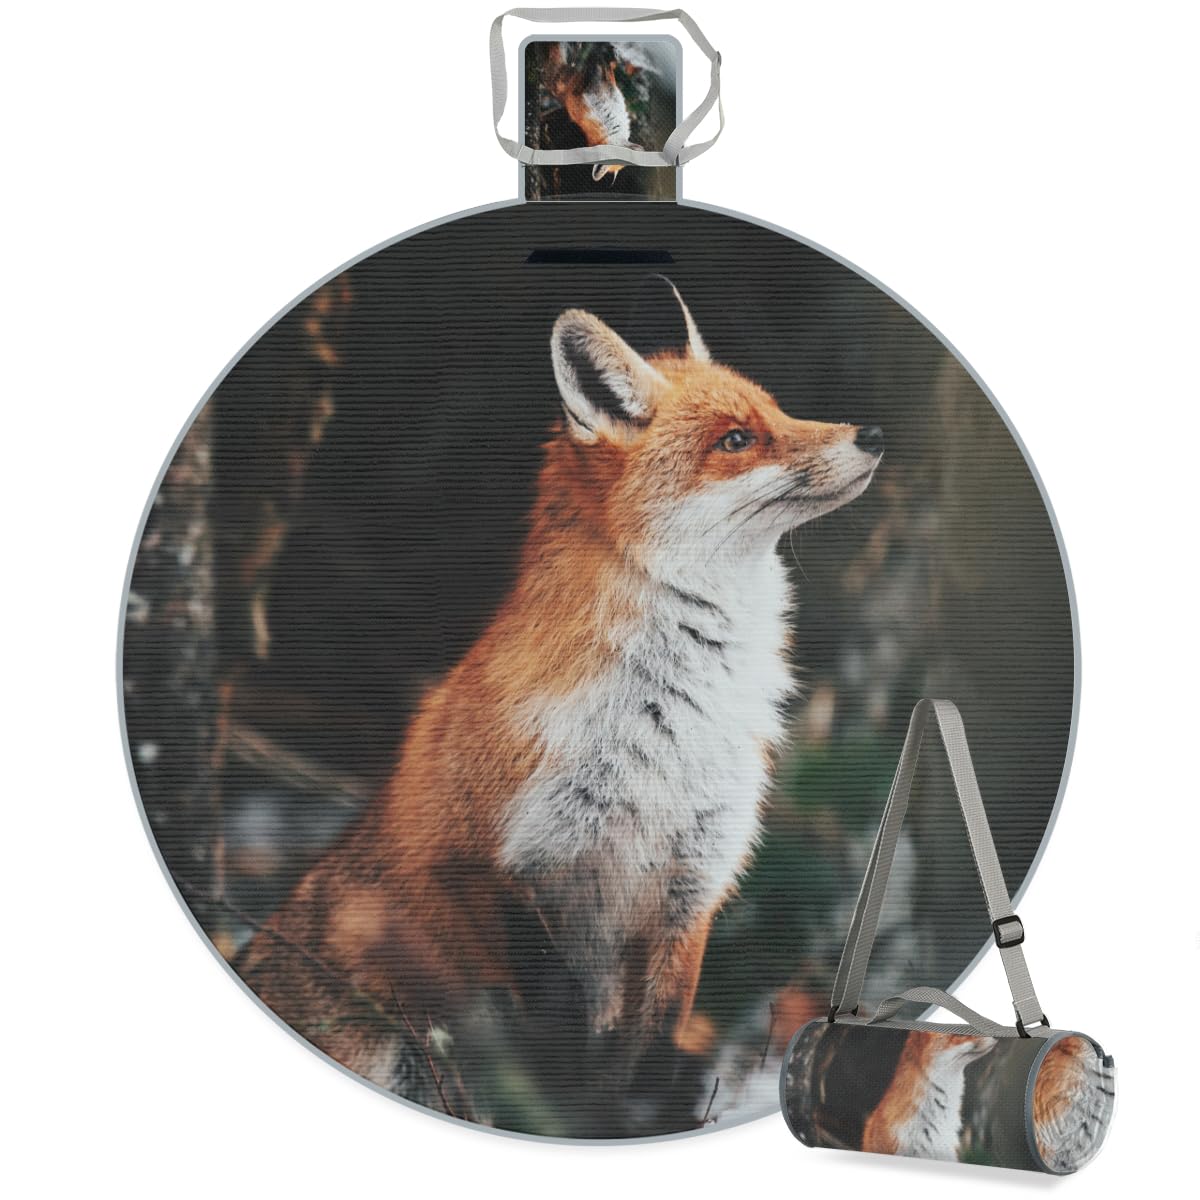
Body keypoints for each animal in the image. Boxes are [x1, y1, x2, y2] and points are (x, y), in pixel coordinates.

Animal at [236, 281, 883, 1102]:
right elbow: (559, 1063)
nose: (874, 432)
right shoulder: (495, 869)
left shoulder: (688, 893)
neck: (671, 724)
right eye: (737, 439)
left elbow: (643, 1064)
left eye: (779, 411)